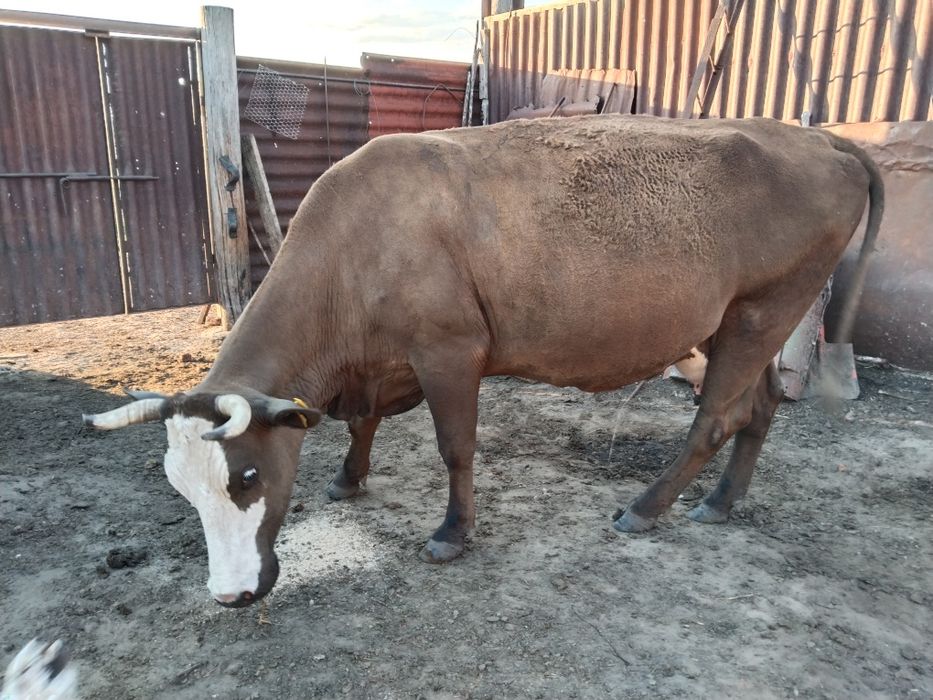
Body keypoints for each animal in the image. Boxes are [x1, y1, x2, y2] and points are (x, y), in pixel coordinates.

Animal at [83, 115, 882, 607]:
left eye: (246, 478)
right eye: (182, 488)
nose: (231, 596)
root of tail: (821, 140)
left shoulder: (450, 349)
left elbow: (455, 447)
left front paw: (451, 534)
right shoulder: (384, 365)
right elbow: (363, 424)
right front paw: (348, 479)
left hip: (761, 310)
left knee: (714, 418)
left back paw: (646, 508)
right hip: (736, 326)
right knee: (759, 407)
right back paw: (722, 501)